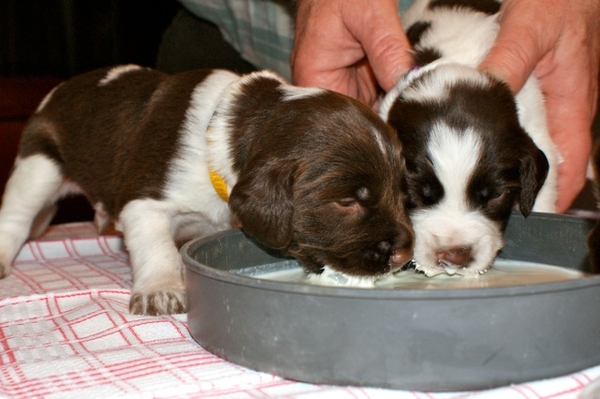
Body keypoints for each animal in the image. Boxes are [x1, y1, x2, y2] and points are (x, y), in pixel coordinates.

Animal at [0, 65, 414, 316]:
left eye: (400, 192)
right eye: (346, 202)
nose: (403, 254)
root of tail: (60, 88)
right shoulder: (144, 202)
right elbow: (158, 248)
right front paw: (161, 290)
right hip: (40, 166)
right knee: (16, 217)